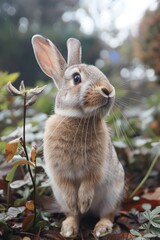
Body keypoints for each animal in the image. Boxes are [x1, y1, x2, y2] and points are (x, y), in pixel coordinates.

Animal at [31, 34, 124, 238]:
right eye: (76, 78)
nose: (108, 90)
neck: (78, 118)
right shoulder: (58, 170)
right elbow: (66, 184)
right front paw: (77, 205)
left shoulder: (95, 168)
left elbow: (89, 182)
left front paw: (83, 202)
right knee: (74, 215)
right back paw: (69, 228)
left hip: (112, 194)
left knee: (108, 214)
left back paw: (101, 228)